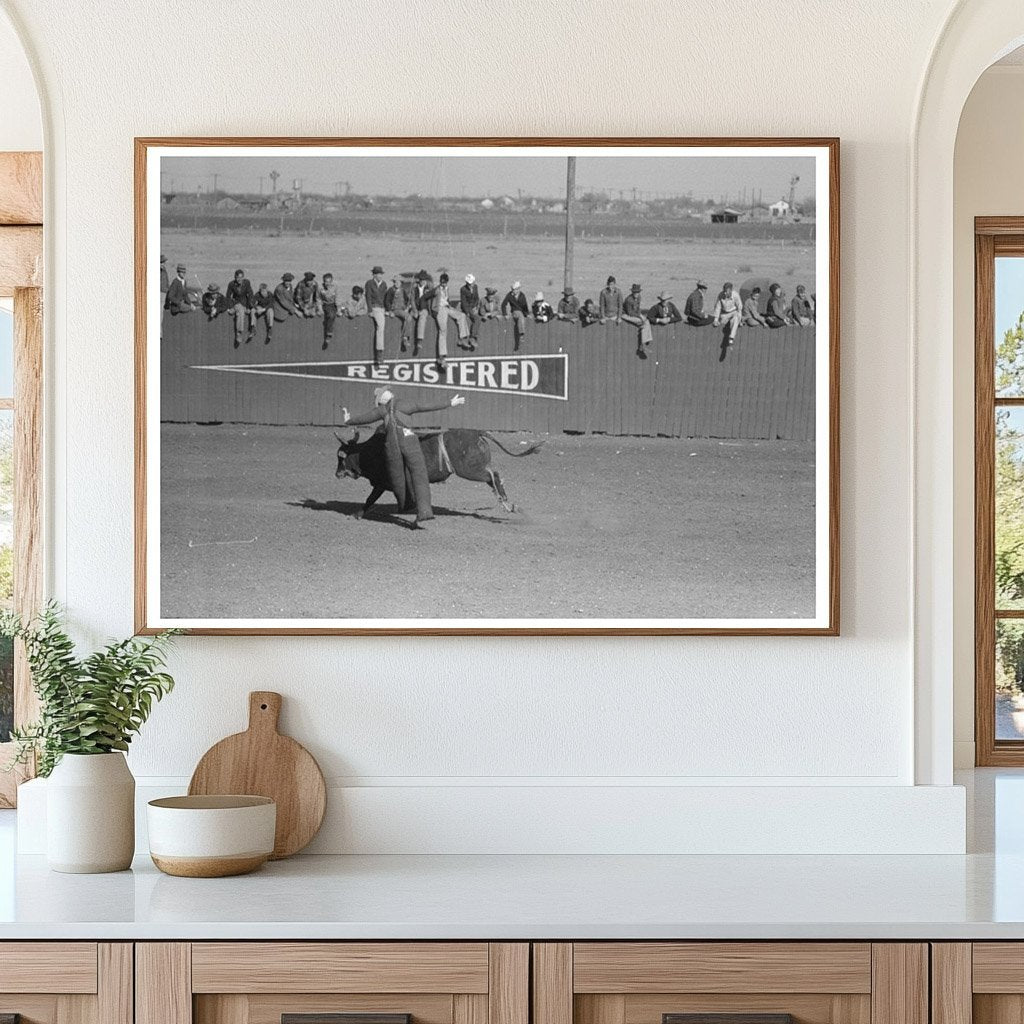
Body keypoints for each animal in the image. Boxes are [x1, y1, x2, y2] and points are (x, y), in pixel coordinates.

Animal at [333, 425, 544, 516]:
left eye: (340, 458)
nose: (336, 474)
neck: (370, 451)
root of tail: (476, 432)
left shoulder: (383, 482)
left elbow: (372, 498)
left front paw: (358, 514)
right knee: (493, 477)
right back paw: (507, 503)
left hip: (469, 470)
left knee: (493, 475)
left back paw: (505, 502)